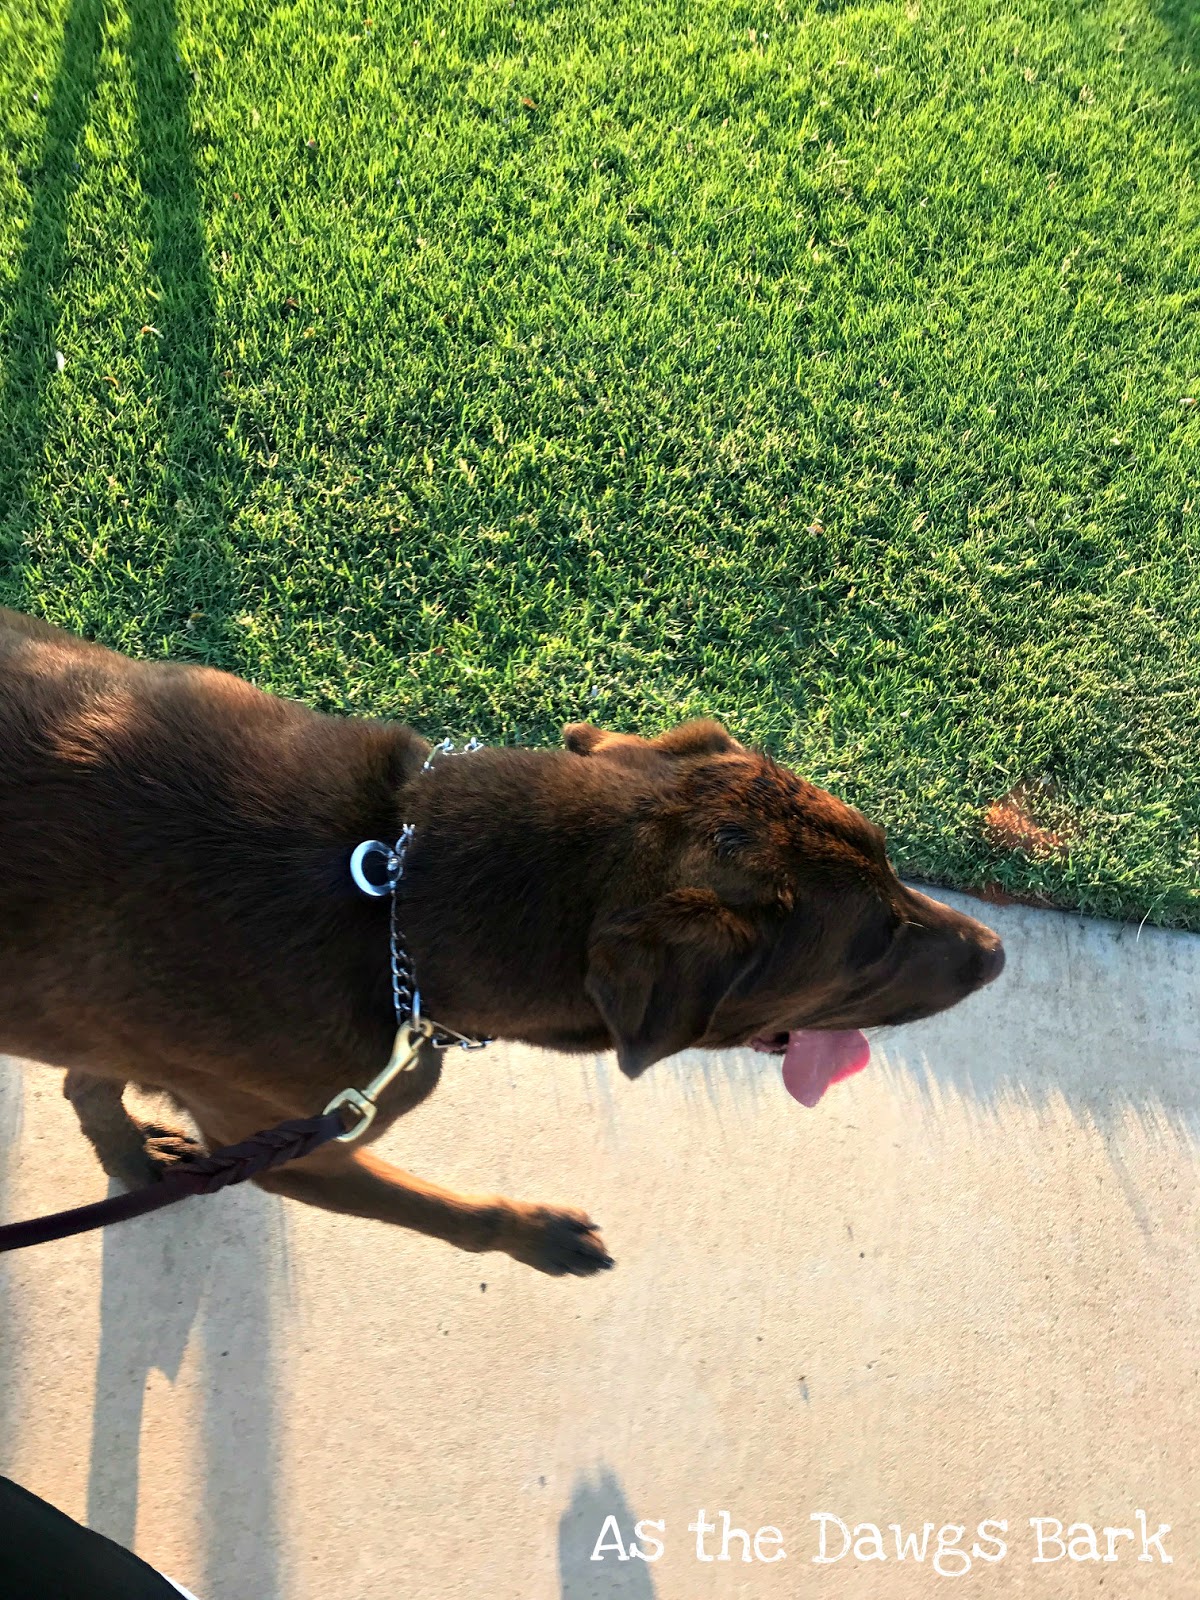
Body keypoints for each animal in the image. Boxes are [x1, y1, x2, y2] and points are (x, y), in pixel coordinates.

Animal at [0, 608, 1004, 1275]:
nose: (997, 952)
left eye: (890, 857)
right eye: (872, 945)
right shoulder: (302, 1144)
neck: (393, 895)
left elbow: (89, 1081)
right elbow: (441, 1212)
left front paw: (129, 1159)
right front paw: (535, 1235)